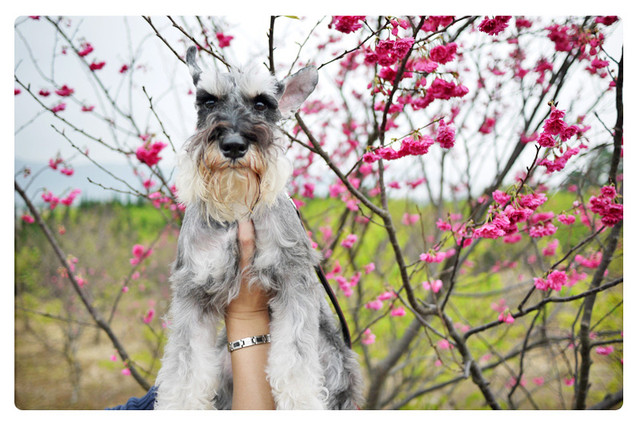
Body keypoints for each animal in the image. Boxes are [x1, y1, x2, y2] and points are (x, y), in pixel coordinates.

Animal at [152, 46, 362, 412]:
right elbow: (184, 367)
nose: (234, 144)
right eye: (208, 101)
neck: (236, 207)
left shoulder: (294, 280)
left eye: (262, 104)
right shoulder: (192, 290)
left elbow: (295, 362)